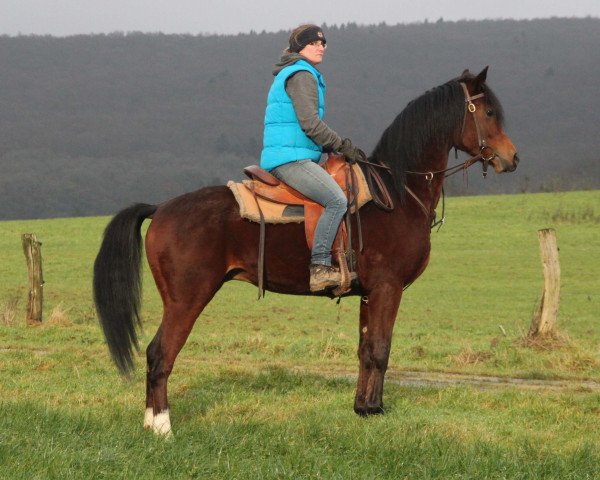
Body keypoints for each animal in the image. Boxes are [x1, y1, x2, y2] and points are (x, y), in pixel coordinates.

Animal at [94, 66, 520, 436]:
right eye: (489, 111)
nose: (512, 158)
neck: (397, 194)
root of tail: (161, 208)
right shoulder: (388, 287)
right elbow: (381, 349)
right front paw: (375, 412)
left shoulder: (369, 293)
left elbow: (365, 349)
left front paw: (364, 408)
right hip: (187, 299)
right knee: (160, 354)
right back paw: (162, 427)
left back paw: (150, 422)